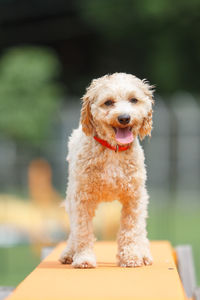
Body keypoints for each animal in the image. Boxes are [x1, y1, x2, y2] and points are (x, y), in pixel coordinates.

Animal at [59, 73, 155, 270]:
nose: (124, 117)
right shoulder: (81, 198)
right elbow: (82, 230)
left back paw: (144, 253)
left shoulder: (134, 198)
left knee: (141, 228)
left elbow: (131, 229)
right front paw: (84, 258)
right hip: (71, 195)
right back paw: (69, 252)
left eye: (134, 100)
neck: (113, 149)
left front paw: (131, 257)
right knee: (74, 229)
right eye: (108, 102)